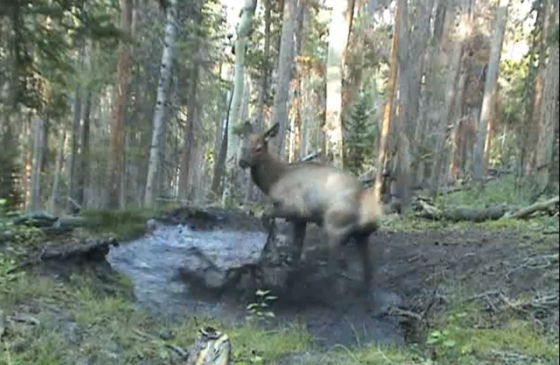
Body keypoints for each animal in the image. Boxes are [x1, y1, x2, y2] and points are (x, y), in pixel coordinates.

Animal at [236, 121, 384, 298]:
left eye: (258, 148)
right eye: (243, 144)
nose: (242, 162)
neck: (273, 181)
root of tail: (373, 216)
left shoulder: (293, 207)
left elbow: (266, 218)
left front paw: (274, 252)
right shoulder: (302, 218)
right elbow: (296, 247)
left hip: (335, 226)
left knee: (338, 265)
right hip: (361, 236)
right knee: (368, 269)